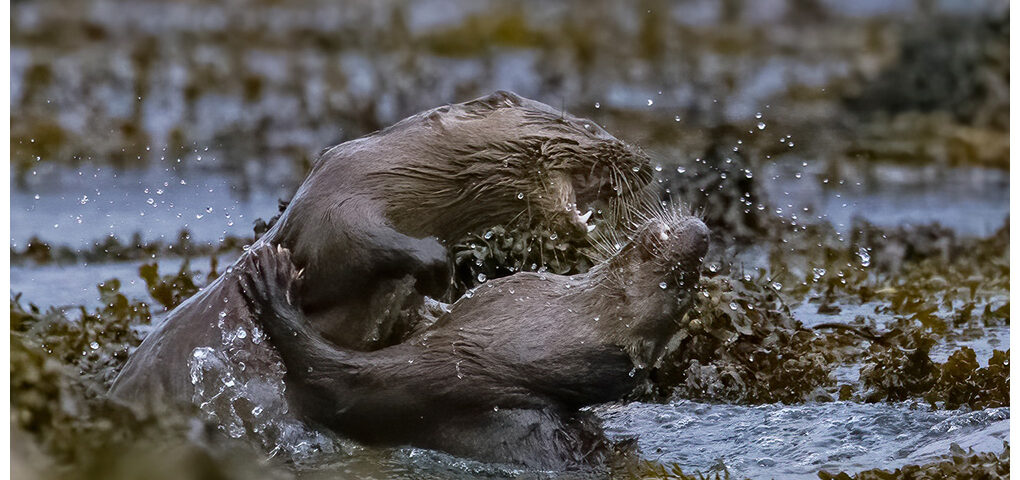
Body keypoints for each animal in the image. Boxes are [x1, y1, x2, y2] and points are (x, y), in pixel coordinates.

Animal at [107, 91, 648, 413]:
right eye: (590, 126)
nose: (642, 159)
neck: (399, 170)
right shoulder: (337, 201)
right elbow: (357, 242)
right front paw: (441, 272)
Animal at [236, 209, 709, 468]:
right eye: (688, 287)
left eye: (672, 285)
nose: (701, 236)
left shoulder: (420, 376)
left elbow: (320, 371)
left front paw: (272, 286)